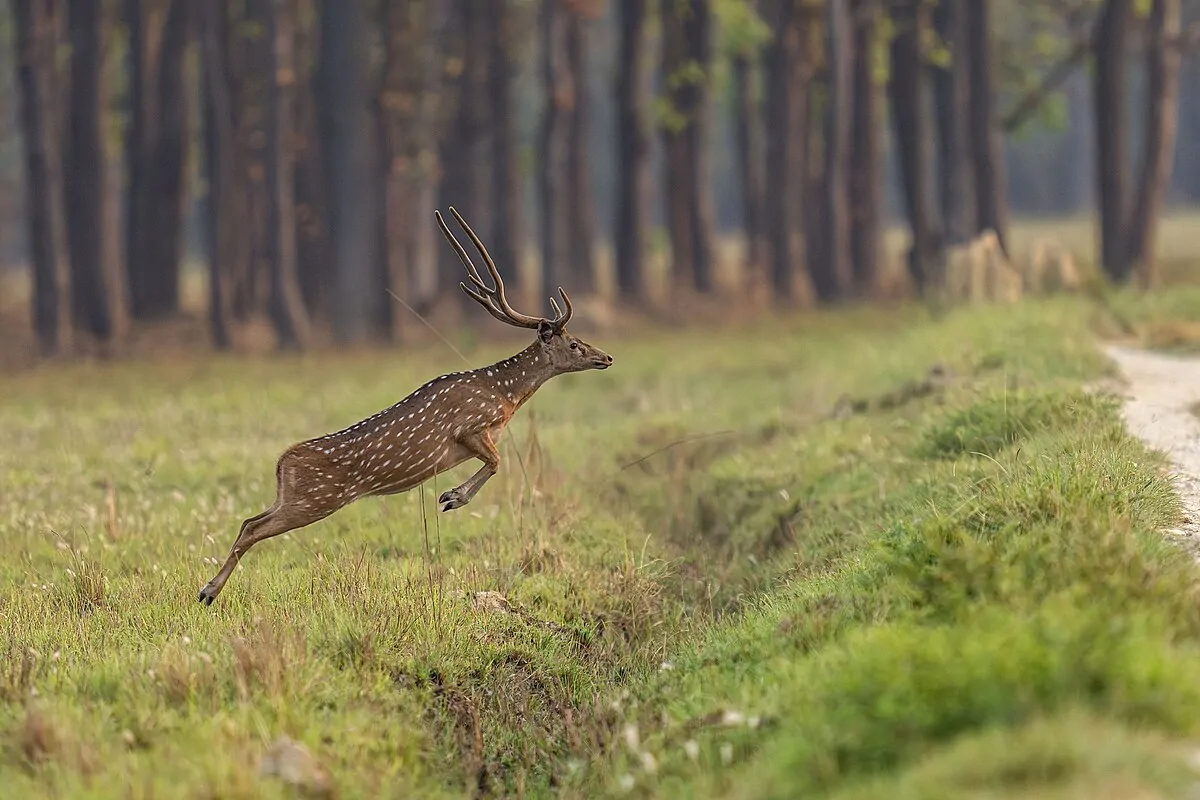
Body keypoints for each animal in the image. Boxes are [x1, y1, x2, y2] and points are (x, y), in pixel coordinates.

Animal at [200, 206, 614, 606]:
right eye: (574, 343)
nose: (607, 357)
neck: (505, 395)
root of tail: (281, 463)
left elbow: (496, 462)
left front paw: (451, 496)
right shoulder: (469, 426)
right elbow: (497, 462)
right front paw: (451, 498)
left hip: (292, 496)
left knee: (247, 520)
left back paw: (210, 589)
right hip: (316, 498)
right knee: (253, 527)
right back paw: (208, 591)